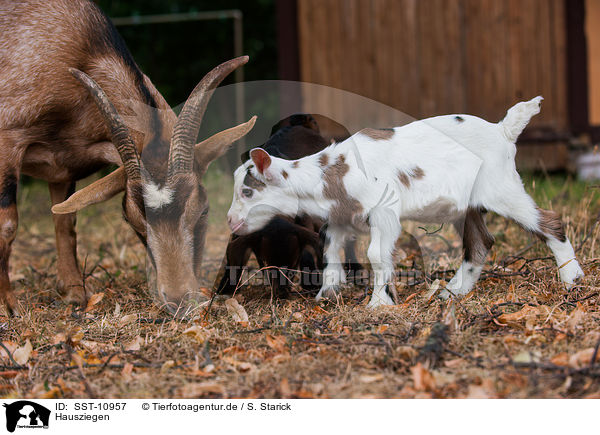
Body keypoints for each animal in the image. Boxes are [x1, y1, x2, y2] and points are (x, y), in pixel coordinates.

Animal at [0, 0, 254, 316]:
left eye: (204, 210)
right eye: (131, 220)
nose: (179, 299)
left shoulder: (61, 167)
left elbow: (65, 222)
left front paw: (73, 292)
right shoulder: (7, 138)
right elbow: (7, 225)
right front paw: (8, 306)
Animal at [218, 115, 364, 300]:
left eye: (293, 264)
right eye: (264, 263)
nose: (281, 293)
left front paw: (312, 283)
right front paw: (225, 287)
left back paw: (355, 270)